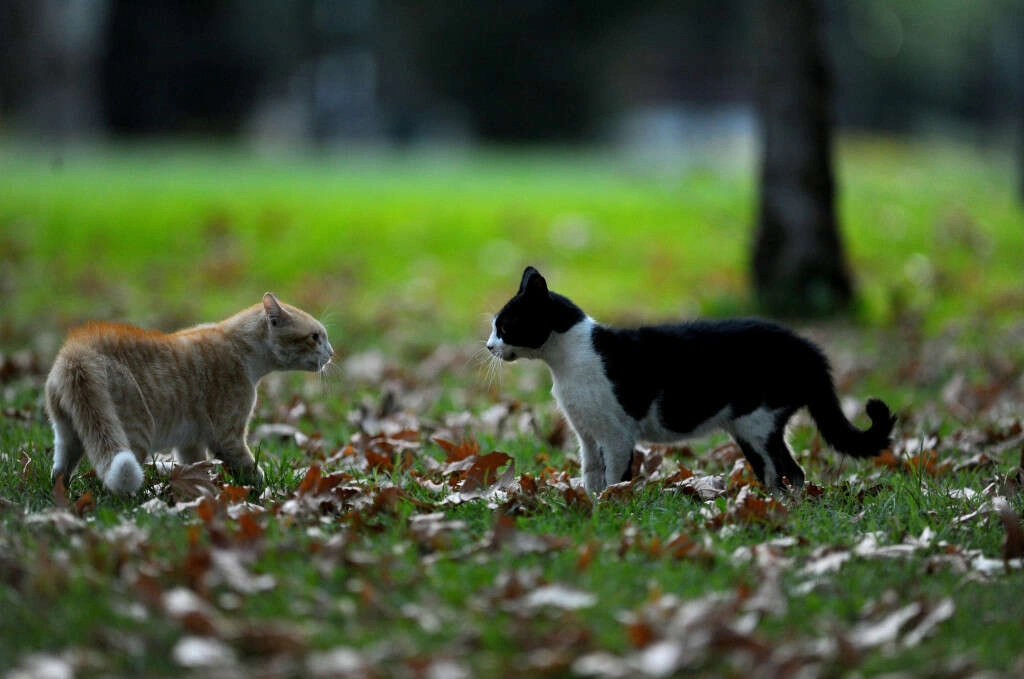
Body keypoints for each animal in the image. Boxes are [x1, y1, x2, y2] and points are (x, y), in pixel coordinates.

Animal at [44, 294, 331, 497]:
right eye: (315, 337)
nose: (331, 352)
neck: (241, 349)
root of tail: (78, 351)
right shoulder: (228, 437)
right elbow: (250, 469)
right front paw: (265, 493)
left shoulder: (189, 442)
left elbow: (196, 468)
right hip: (135, 433)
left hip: (67, 433)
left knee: (59, 471)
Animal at [487, 266, 897, 493]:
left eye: (505, 327)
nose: (489, 345)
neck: (566, 363)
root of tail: (809, 348)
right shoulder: (586, 434)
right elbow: (591, 475)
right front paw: (588, 506)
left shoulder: (617, 434)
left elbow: (615, 476)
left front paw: (611, 506)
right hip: (751, 427)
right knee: (785, 472)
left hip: (757, 420)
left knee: (784, 471)